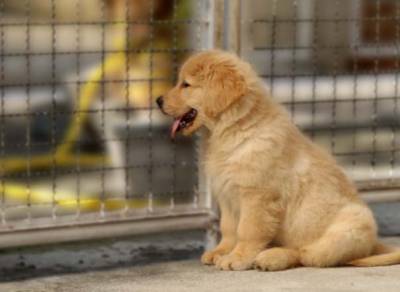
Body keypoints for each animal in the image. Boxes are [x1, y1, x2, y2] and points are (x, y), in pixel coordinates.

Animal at [155, 50, 400, 272]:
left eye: (186, 85)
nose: (157, 100)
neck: (235, 130)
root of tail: (371, 245)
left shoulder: (257, 196)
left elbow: (247, 230)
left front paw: (237, 258)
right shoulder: (227, 195)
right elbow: (229, 229)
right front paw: (221, 251)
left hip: (351, 225)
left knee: (307, 254)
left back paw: (271, 258)